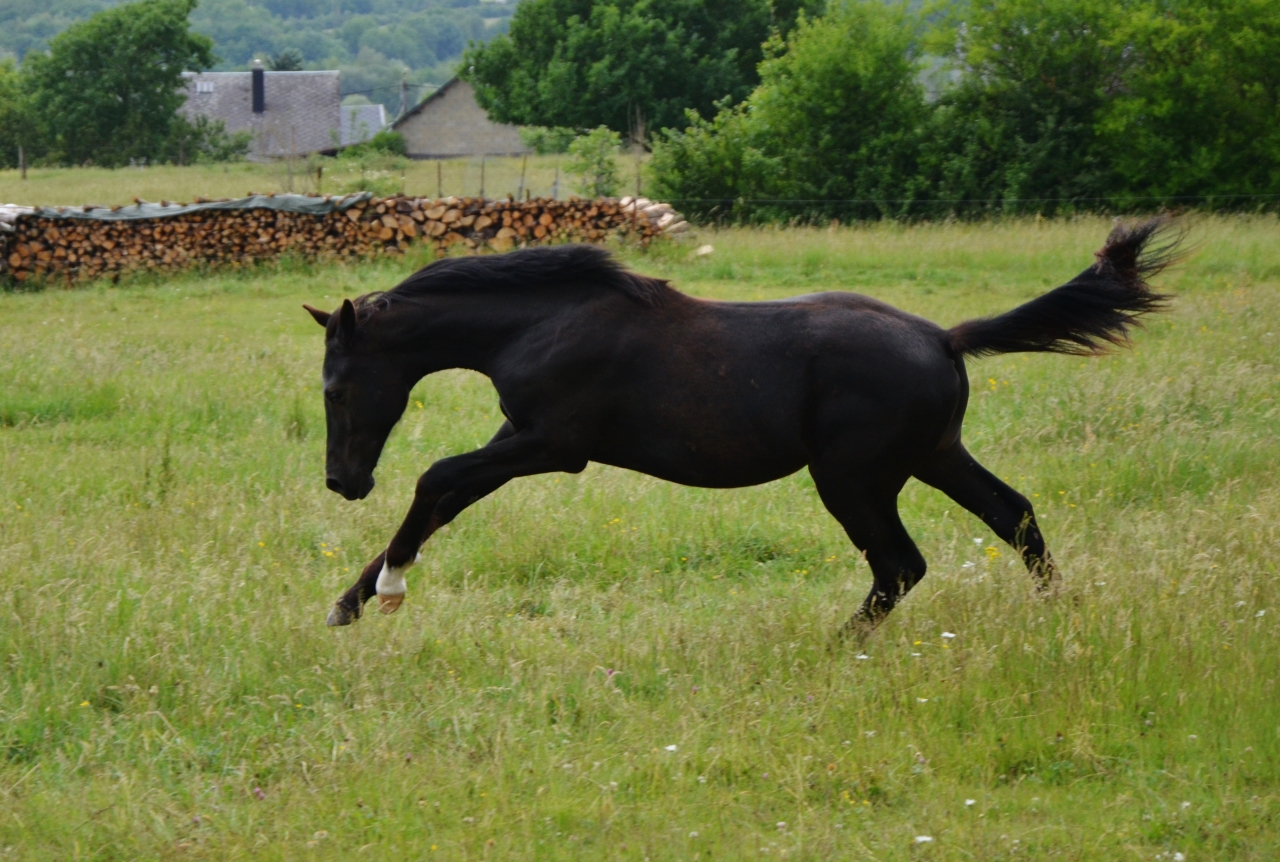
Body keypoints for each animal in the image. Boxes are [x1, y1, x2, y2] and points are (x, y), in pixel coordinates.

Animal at [303, 219, 1177, 637]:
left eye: (336, 388)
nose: (342, 482)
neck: (544, 321)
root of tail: (944, 337)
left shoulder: (552, 445)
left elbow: (436, 480)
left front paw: (386, 589)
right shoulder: (516, 438)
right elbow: (442, 501)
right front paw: (348, 604)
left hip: (854, 477)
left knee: (901, 564)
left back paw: (831, 647)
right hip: (935, 455)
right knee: (1014, 514)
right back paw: (1065, 619)